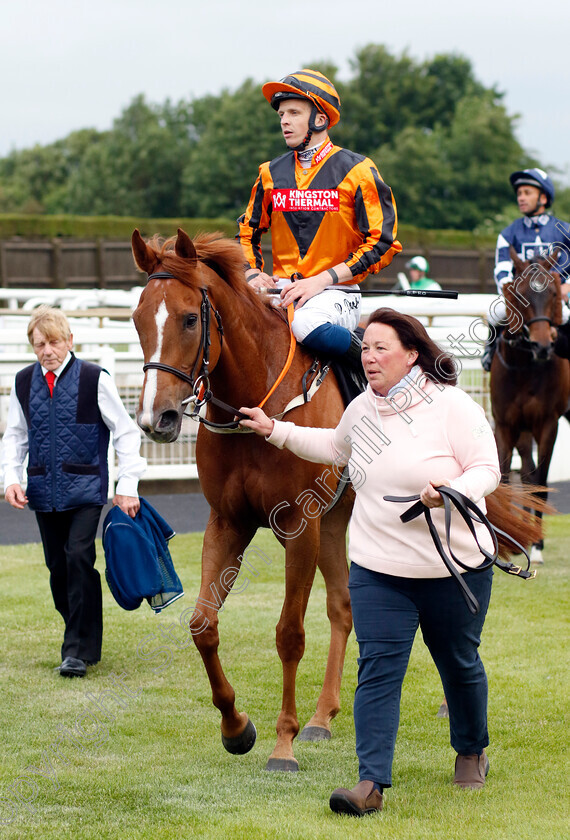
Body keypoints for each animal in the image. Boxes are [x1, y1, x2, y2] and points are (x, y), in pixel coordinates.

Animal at [131, 226, 352, 772]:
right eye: (138, 318)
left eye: (190, 318)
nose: (155, 418)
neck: (258, 400)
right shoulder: (228, 520)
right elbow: (202, 624)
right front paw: (236, 727)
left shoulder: (301, 524)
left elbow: (289, 634)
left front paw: (283, 744)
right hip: (336, 521)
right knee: (341, 607)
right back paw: (322, 716)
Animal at [488, 249, 568, 564]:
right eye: (521, 293)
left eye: (553, 293)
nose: (542, 346)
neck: (523, 367)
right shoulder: (505, 424)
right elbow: (506, 479)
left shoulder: (548, 423)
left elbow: (541, 484)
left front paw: (537, 548)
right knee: (525, 470)